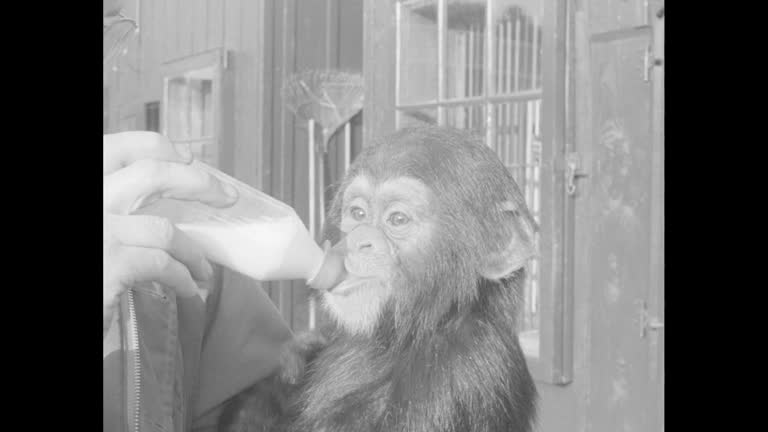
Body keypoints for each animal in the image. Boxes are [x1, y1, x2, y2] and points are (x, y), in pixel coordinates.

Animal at [218, 125, 539, 432]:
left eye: (397, 219)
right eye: (358, 213)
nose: (359, 240)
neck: (398, 337)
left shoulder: (459, 374)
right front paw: (295, 362)